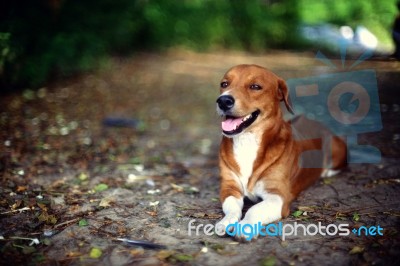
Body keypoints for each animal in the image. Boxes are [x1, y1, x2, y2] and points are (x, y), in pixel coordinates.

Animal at [214, 64, 346, 239]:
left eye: (255, 86)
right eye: (224, 84)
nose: (223, 101)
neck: (248, 141)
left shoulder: (278, 196)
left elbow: (254, 209)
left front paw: (245, 227)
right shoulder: (229, 187)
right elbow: (232, 207)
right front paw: (226, 221)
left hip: (338, 148)